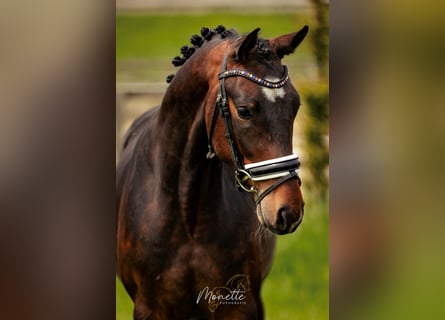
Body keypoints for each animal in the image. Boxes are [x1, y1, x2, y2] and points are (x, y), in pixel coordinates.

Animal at [116, 25, 306, 320]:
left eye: (295, 107)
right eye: (244, 111)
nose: (288, 210)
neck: (187, 214)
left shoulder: (240, 306)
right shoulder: (150, 309)